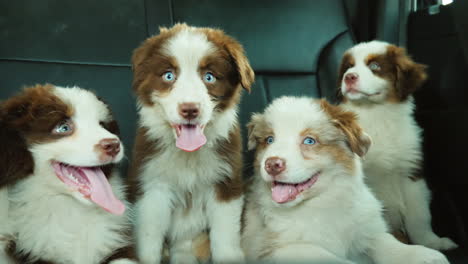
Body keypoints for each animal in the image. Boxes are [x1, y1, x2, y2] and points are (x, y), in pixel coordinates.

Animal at [128, 23, 254, 264]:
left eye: (210, 77)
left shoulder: (226, 184)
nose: (189, 109)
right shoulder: (152, 186)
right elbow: (149, 238)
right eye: (169, 75)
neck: (188, 153)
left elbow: (225, 237)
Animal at [241, 96, 450, 264]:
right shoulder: (274, 248)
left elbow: (387, 242)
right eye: (269, 140)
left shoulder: (366, 230)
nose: (271, 164)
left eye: (309, 140)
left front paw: (423, 255)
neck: (322, 203)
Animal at [336, 40, 458, 251]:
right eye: (349, 66)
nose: (348, 77)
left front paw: (431, 242)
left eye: (375, 66)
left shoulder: (412, 172)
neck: (377, 113)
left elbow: (419, 215)